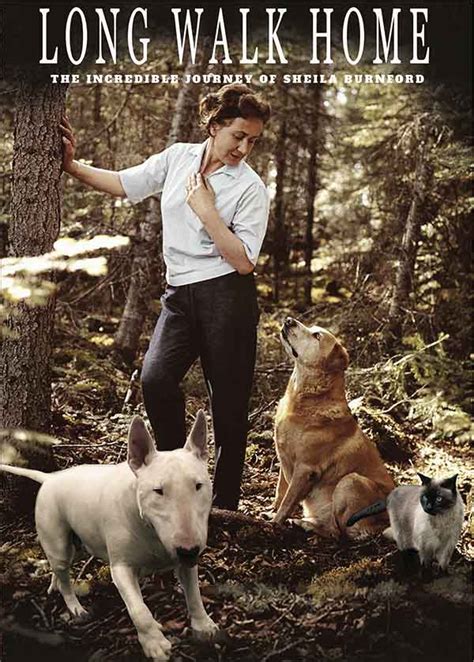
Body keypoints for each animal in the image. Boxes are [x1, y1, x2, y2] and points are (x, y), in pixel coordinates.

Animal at [0, 410, 219, 660]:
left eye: (198, 486)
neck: (149, 528)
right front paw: (154, 644)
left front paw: (204, 625)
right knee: (63, 573)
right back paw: (75, 607)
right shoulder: (121, 568)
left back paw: (55, 583)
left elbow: (194, 592)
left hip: (77, 542)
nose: (189, 550)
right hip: (57, 536)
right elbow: (139, 610)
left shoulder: (184, 561)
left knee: (60, 567)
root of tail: (49, 478)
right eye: (158, 491)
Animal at [272, 317, 395, 539]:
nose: (288, 320)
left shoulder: (305, 468)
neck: (310, 396)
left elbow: (287, 501)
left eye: (316, 336)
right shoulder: (283, 458)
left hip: (350, 481)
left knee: (339, 533)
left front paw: (273, 524)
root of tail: (385, 525)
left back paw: (308, 526)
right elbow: (280, 492)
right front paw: (271, 511)